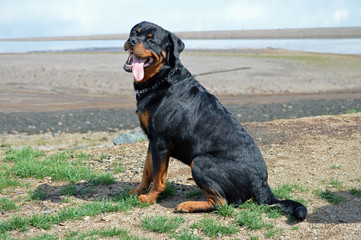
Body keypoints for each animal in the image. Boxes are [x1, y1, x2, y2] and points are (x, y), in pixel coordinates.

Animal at [122, 21, 306, 220]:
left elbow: (158, 177)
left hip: (200, 162)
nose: (132, 41)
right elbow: (147, 170)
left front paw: (150, 198)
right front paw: (138, 191)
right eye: (134, 33)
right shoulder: (152, 140)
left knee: (221, 202)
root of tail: (261, 183)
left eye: (151, 41)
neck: (163, 78)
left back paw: (189, 205)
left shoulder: (160, 143)